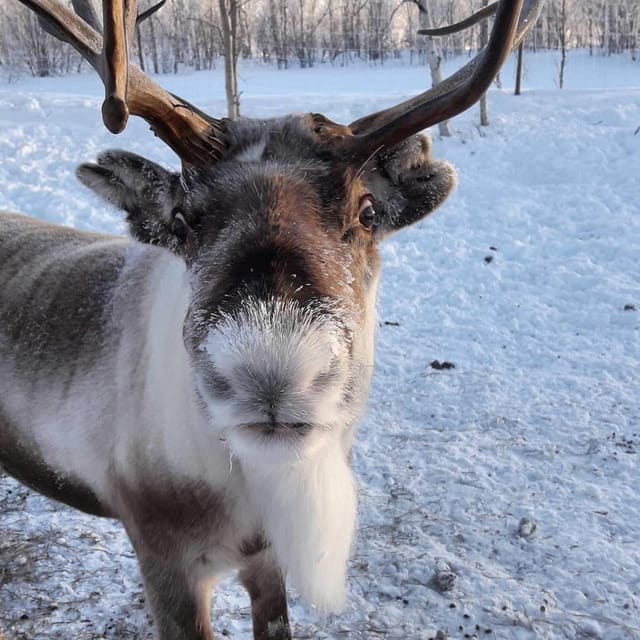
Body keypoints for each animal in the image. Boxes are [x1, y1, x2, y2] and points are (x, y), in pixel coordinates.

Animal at [0, 0, 542, 638]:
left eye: (367, 212)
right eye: (181, 220)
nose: (271, 373)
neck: (249, 487)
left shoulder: (264, 559)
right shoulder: (166, 562)